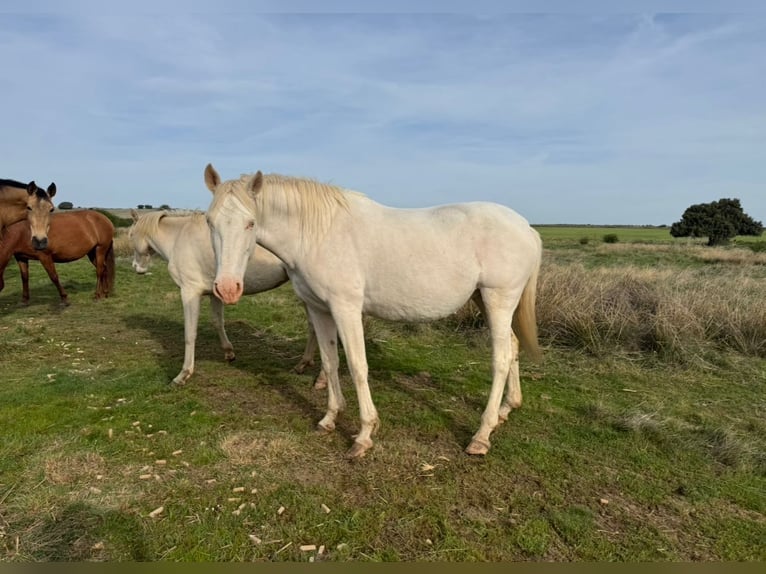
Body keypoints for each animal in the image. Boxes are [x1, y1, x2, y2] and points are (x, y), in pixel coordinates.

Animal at [128, 209, 323, 386]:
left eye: (131, 235)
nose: (137, 268)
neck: (179, 237)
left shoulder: (189, 292)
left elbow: (190, 333)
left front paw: (183, 375)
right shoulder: (215, 293)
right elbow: (217, 322)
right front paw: (229, 353)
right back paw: (303, 365)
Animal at [203, 164, 543, 458]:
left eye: (250, 223)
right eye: (210, 222)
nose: (228, 288)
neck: (317, 234)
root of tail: (527, 228)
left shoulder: (346, 309)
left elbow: (357, 366)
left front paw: (364, 435)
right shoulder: (319, 310)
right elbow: (330, 362)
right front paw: (329, 418)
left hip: (498, 299)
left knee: (500, 358)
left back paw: (481, 435)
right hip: (483, 300)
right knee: (513, 346)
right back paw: (507, 409)